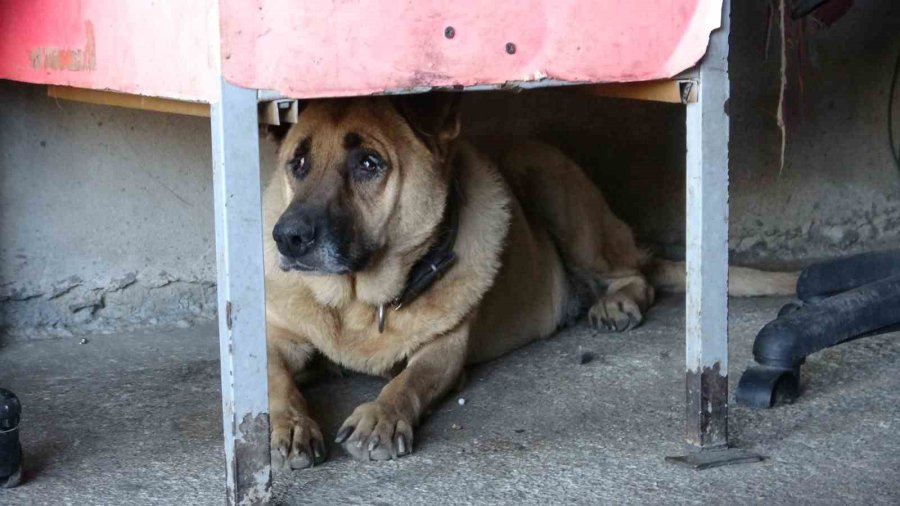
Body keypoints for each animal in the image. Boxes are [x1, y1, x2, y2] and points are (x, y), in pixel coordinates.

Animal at [260, 94, 796, 466]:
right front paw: (289, 426)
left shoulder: (444, 350)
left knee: (636, 274)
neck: (356, 303)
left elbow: (408, 381)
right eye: (297, 163)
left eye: (369, 164)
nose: (287, 237)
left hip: (545, 175)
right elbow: (275, 382)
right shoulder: (275, 340)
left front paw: (382, 415)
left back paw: (616, 303)